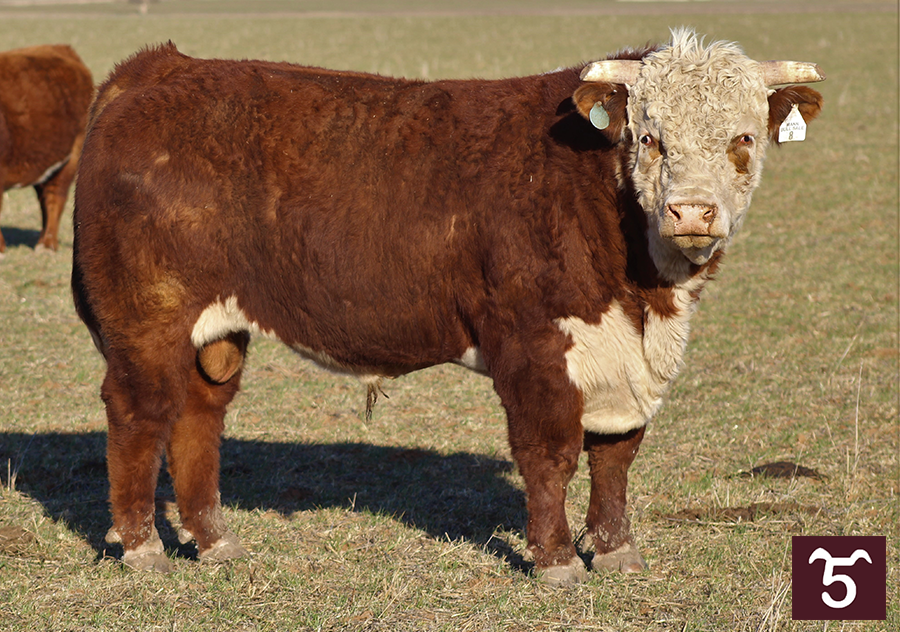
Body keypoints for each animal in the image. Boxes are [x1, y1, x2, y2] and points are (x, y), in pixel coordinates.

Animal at [72, 29, 823, 584]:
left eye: (743, 139)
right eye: (650, 138)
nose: (691, 211)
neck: (646, 296)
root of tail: (159, 69)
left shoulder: (623, 359)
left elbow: (615, 455)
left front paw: (615, 551)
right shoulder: (534, 347)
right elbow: (550, 453)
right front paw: (556, 562)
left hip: (215, 331)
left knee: (198, 416)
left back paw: (214, 540)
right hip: (148, 320)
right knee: (138, 415)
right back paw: (143, 547)